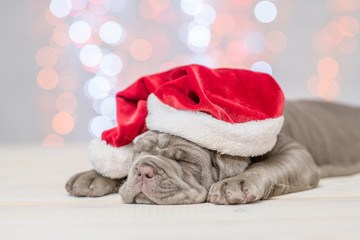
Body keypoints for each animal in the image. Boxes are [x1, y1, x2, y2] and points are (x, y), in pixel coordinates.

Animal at [64, 100, 360, 204]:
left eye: (185, 161)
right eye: (139, 153)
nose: (144, 170)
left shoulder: (295, 153)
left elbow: (267, 166)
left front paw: (236, 183)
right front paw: (92, 175)